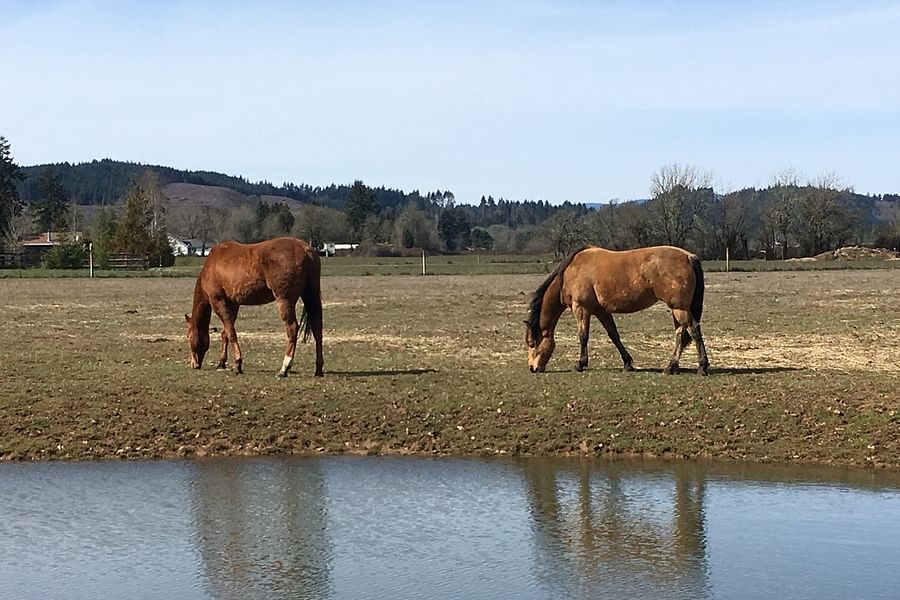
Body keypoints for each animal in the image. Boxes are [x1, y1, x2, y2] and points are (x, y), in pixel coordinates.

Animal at [185, 237, 324, 377]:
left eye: (188, 336)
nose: (193, 364)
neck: (211, 267)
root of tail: (305, 249)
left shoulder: (218, 301)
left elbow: (231, 332)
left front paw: (238, 363)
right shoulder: (233, 304)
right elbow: (226, 332)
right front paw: (222, 362)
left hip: (285, 300)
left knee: (292, 328)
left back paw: (284, 368)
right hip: (310, 296)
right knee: (317, 329)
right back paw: (318, 369)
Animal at [525, 245, 709, 375]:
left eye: (532, 343)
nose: (532, 368)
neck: (569, 274)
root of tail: (688, 257)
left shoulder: (581, 309)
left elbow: (583, 336)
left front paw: (580, 364)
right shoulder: (601, 311)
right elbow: (614, 335)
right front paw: (627, 363)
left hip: (679, 309)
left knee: (693, 330)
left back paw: (702, 366)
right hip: (677, 309)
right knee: (680, 335)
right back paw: (671, 367)